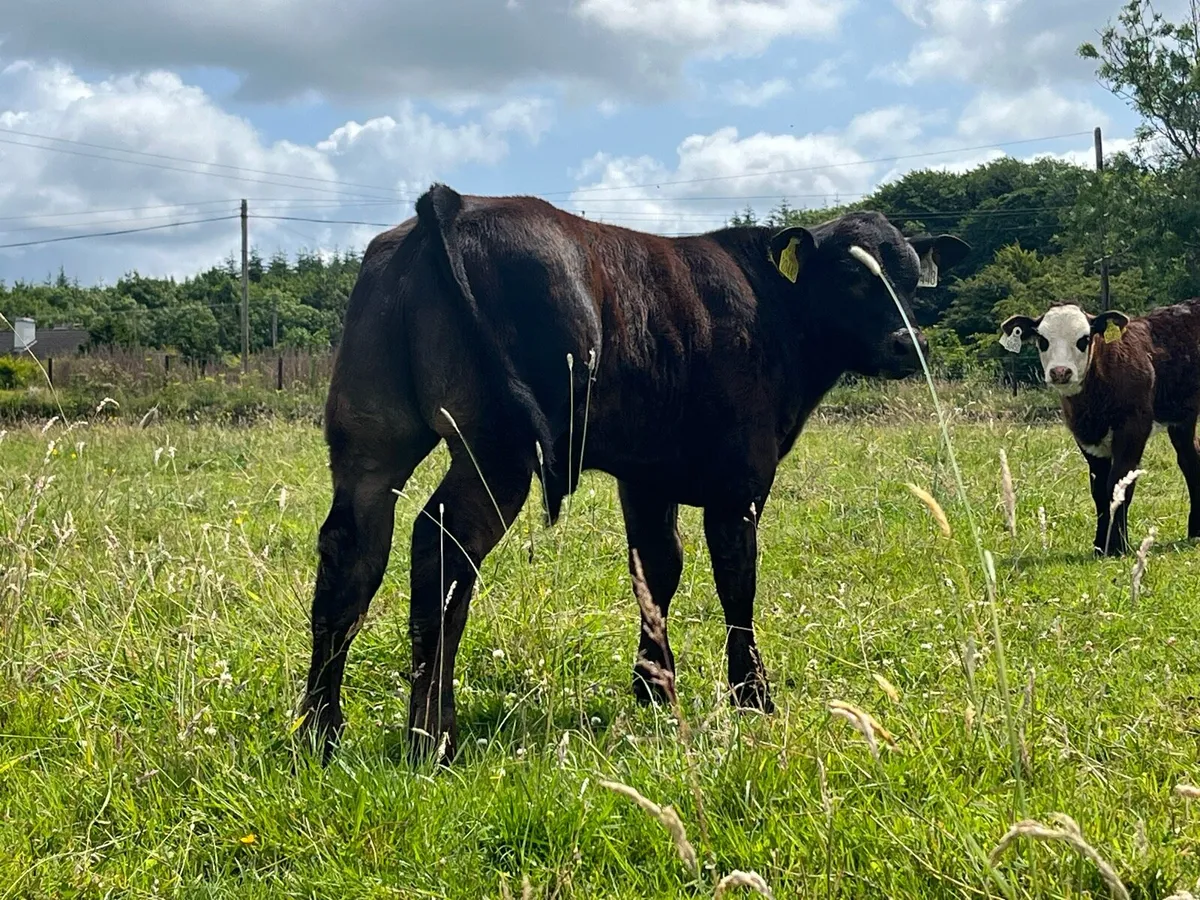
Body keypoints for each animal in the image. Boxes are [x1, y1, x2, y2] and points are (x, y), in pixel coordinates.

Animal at [301, 182, 971, 763]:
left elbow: (657, 569)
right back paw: (432, 737)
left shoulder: (647, 476)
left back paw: (320, 732)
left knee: (351, 551)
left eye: (910, 278)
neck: (777, 312)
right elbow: (737, 582)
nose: (909, 344)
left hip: (372, 437)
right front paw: (752, 698)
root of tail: (454, 202)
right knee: (441, 549)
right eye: (853, 276)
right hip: (496, 449)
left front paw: (653, 683)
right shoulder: (742, 478)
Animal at [1000, 300, 1200, 556]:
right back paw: (1196, 531)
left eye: (1084, 339)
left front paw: (1117, 546)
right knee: (1190, 460)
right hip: (1182, 418)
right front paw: (1100, 545)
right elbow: (1099, 490)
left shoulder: (1133, 427)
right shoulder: (1085, 437)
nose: (1060, 372)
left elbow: (1118, 484)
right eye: (1042, 340)